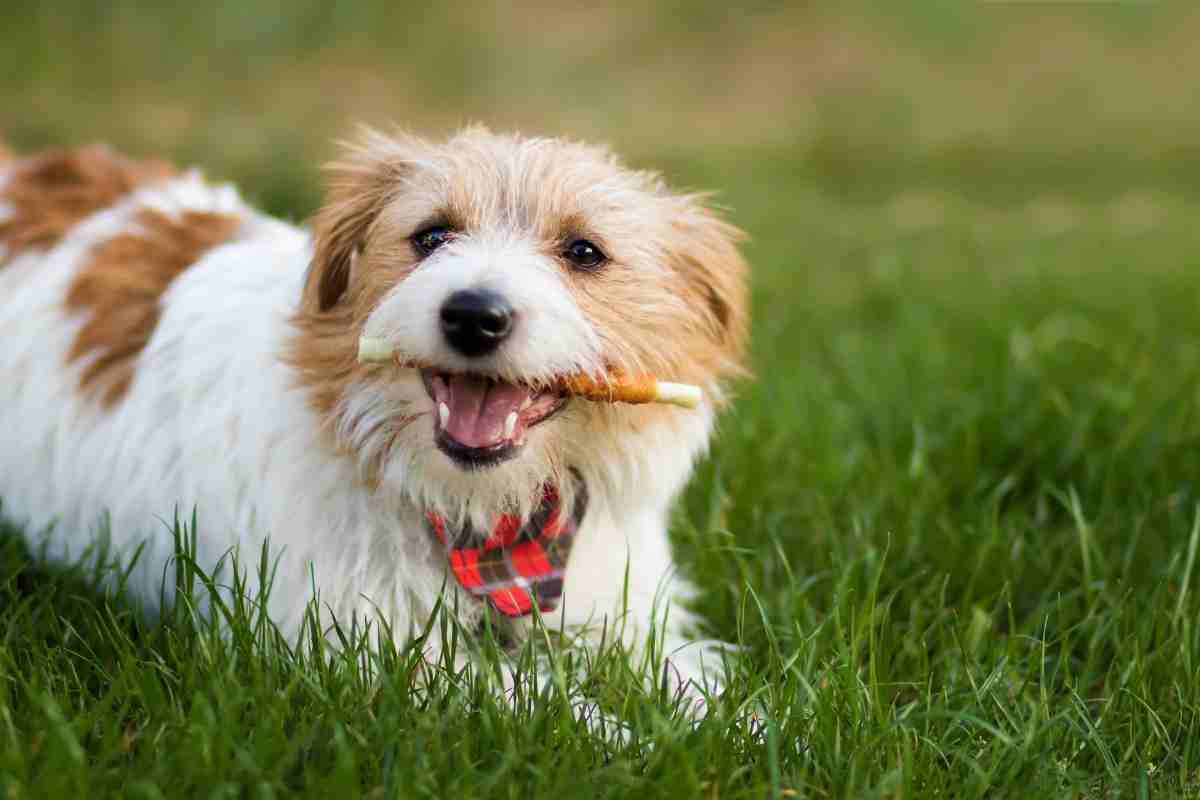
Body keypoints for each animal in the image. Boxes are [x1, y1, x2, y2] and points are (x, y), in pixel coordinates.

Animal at [0, 128, 744, 710]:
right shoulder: (368, 653)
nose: (473, 315)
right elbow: (560, 712)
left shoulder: (630, 617)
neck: (487, 520)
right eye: (432, 235)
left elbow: (704, 691)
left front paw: (751, 734)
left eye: (584, 251)